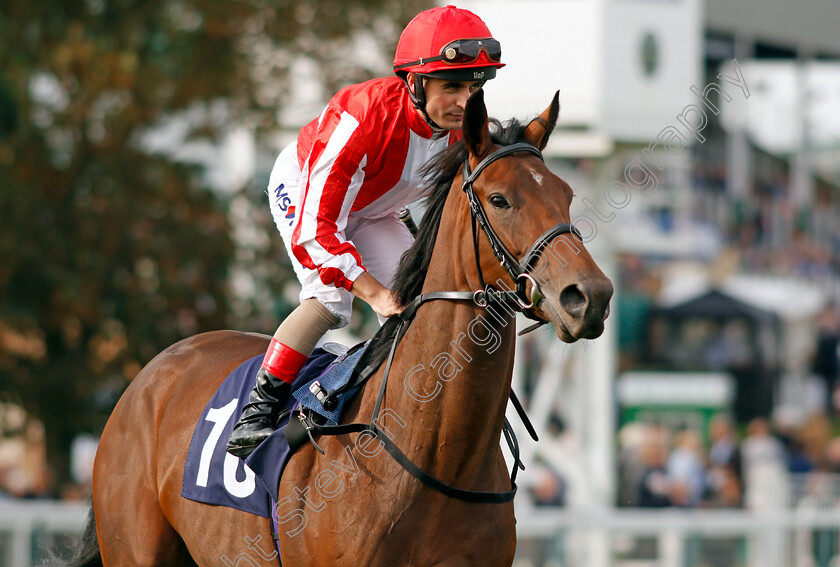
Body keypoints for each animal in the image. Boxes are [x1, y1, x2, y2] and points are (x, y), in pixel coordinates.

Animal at [54, 90, 616, 567]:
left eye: (567, 194)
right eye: (500, 200)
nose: (589, 296)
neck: (435, 456)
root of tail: (153, 372)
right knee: (324, 291)